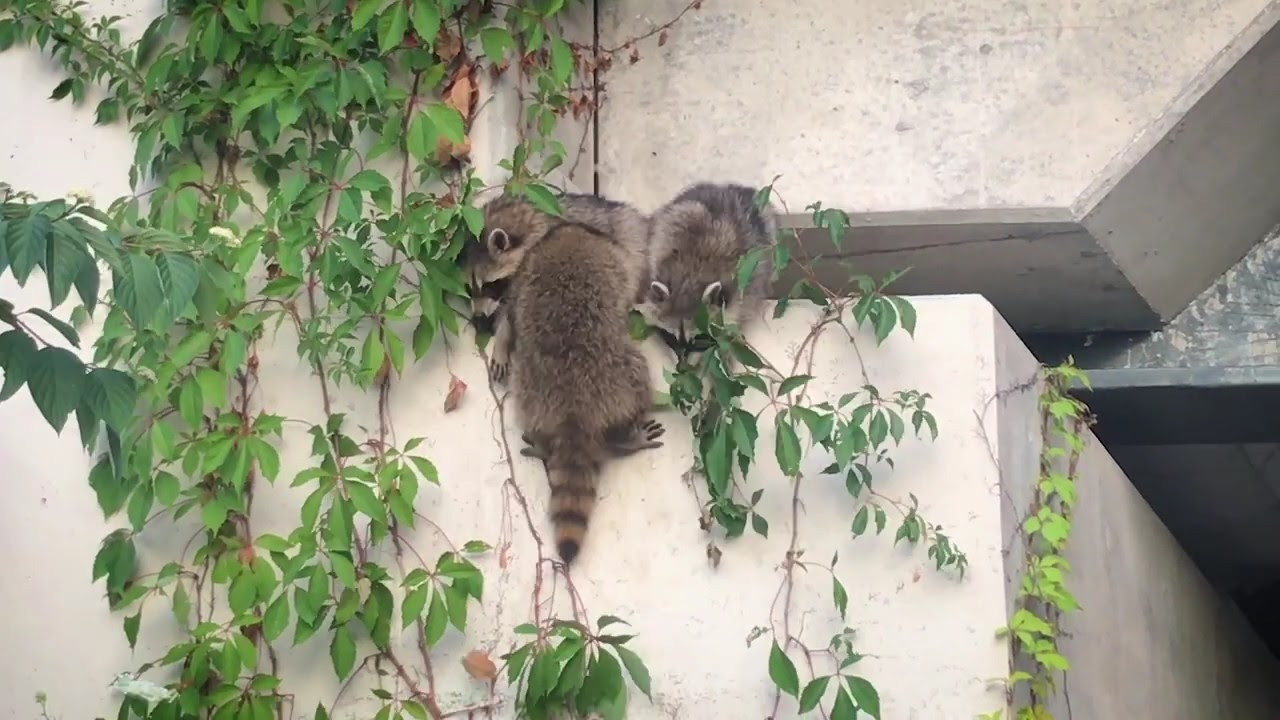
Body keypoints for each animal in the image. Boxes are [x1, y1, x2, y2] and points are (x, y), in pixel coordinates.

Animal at [465, 192, 651, 383]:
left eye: (489, 285)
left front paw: (502, 338)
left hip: (632, 253)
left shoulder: (528, 265)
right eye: (469, 288)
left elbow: (511, 311)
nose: (478, 317)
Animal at [468, 218, 663, 564]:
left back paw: (542, 444)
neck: (569, 233)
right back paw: (626, 437)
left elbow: (511, 318)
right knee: (639, 379)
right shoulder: (617, 262)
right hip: (622, 371)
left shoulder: (522, 279)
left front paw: (502, 339)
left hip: (530, 388)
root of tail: (575, 409)